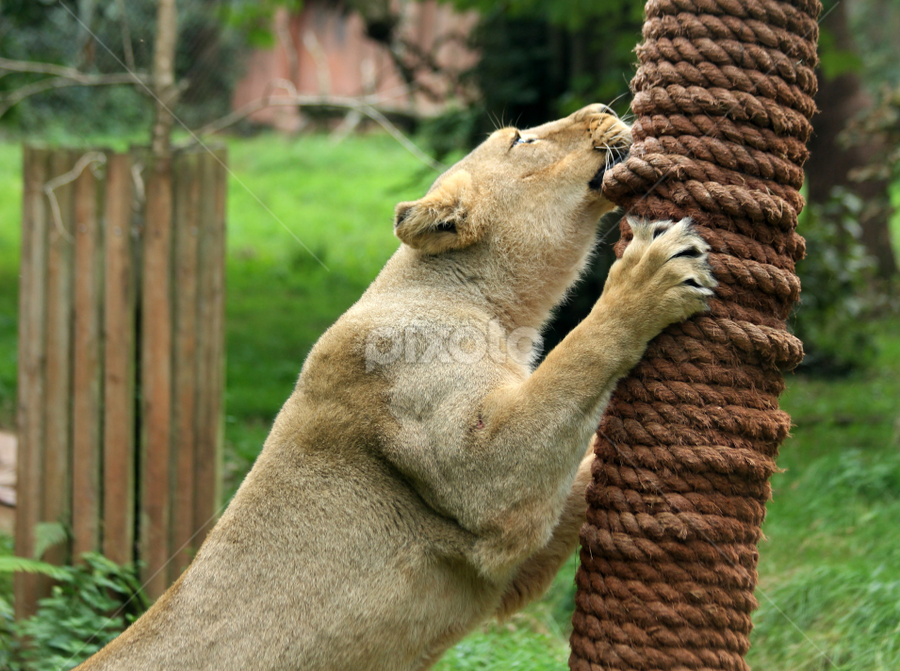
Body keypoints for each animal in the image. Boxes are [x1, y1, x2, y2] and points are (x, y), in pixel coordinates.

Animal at [77, 104, 715, 670]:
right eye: (521, 140)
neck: (499, 308)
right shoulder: (478, 476)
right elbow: (572, 364)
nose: (605, 106)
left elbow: (578, 471)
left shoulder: (512, 564)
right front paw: (650, 273)